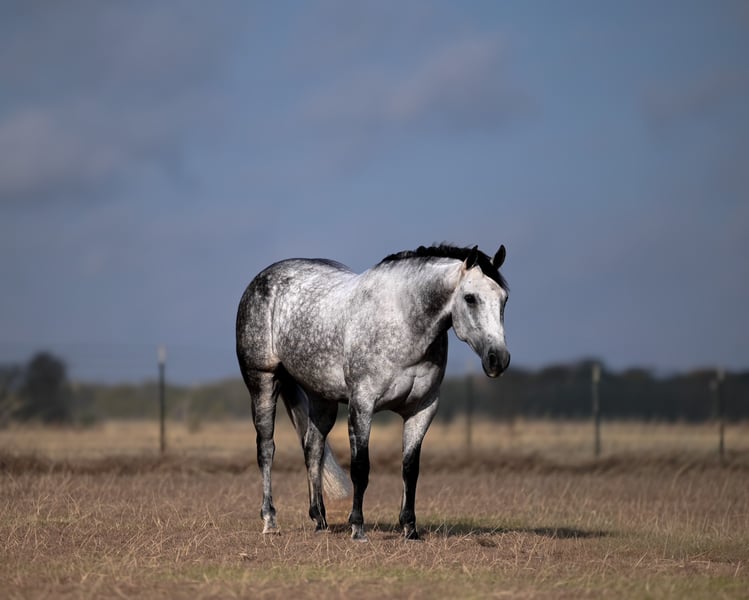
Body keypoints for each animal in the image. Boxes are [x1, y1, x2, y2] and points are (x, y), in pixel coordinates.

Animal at [236, 244, 510, 541]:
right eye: (470, 298)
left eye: (504, 299)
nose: (498, 359)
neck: (404, 321)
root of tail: (261, 279)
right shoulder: (362, 405)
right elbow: (360, 467)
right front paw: (357, 527)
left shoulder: (422, 409)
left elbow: (410, 468)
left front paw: (410, 528)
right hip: (263, 382)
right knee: (266, 448)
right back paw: (270, 520)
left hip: (321, 397)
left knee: (313, 449)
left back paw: (320, 520)